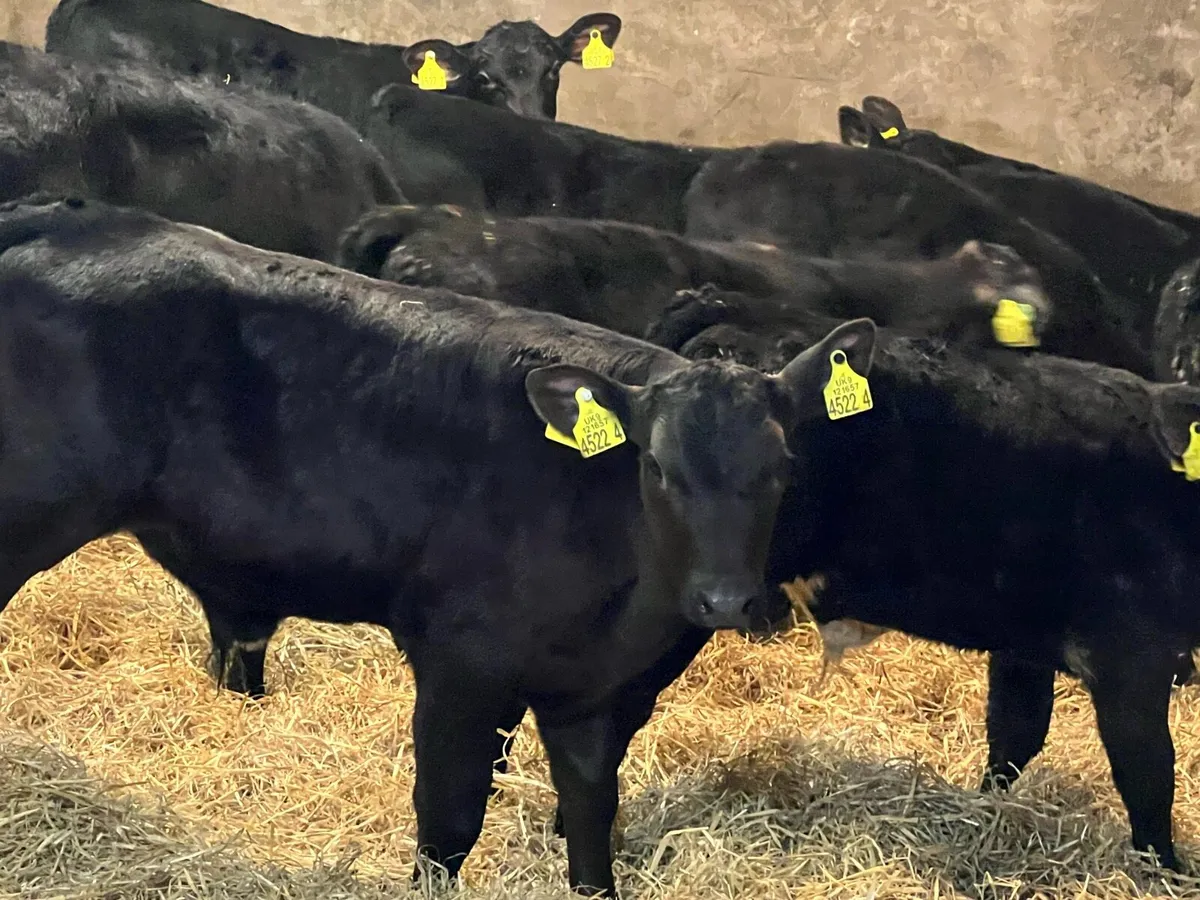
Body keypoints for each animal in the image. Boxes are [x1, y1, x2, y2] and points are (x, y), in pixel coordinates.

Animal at [0, 193, 883, 897]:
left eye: (782, 468)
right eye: (658, 467)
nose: (725, 598)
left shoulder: (601, 695)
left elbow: (591, 828)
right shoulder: (462, 669)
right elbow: (449, 825)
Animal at [667, 308, 1200, 873]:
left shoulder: (1027, 643)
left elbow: (1015, 735)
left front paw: (986, 811)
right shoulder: (1132, 654)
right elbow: (1147, 774)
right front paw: (1165, 868)